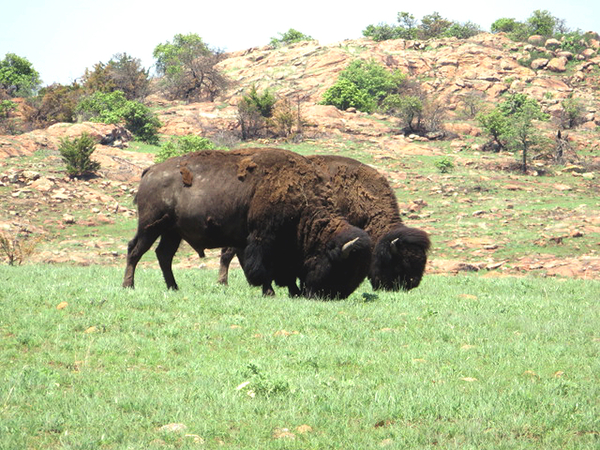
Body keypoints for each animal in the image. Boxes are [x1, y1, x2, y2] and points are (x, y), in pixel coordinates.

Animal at [123, 148, 370, 300]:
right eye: (343, 267)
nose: (335, 295)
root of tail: (151, 170)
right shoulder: (264, 239)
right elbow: (264, 268)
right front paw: (270, 292)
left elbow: (285, 271)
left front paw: (293, 292)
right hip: (150, 226)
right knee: (135, 251)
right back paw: (129, 286)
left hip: (172, 232)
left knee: (163, 255)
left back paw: (173, 287)